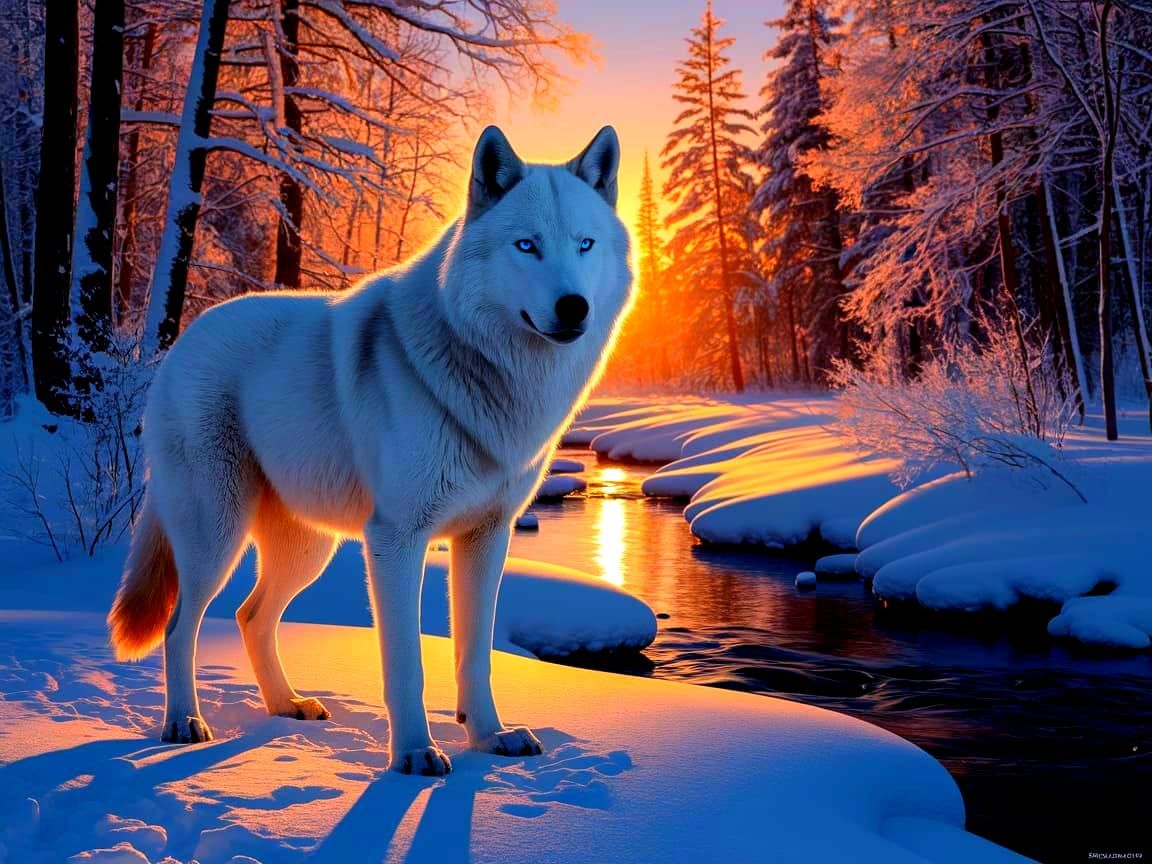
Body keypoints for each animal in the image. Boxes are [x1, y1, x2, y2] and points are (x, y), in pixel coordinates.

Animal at [107, 126, 633, 776]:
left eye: (585, 244)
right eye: (527, 246)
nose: (573, 306)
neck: (488, 378)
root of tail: (183, 340)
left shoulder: (488, 537)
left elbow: (475, 655)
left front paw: (490, 738)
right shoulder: (395, 539)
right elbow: (406, 662)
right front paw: (414, 753)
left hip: (308, 550)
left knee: (251, 617)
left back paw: (286, 706)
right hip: (217, 538)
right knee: (182, 625)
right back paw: (183, 723)